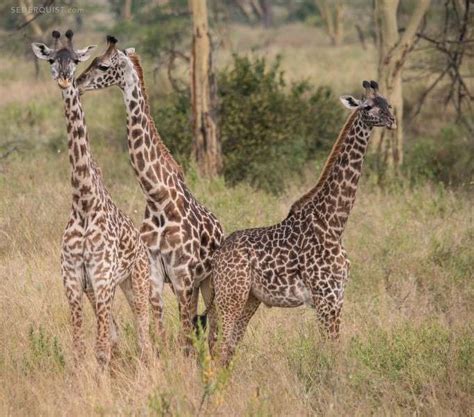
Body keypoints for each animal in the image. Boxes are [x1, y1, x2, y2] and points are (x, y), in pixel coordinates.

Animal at [32, 30, 160, 368]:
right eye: (52, 60)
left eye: (76, 60)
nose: (66, 80)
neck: (83, 203)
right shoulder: (74, 280)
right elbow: (80, 350)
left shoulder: (102, 278)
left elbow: (100, 349)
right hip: (106, 288)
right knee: (116, 332)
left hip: (137, 281)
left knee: (144, 332)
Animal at [77, 35, 225, 350]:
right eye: (91, 60)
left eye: (103, 65)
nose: (79, 83)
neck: (158, 198)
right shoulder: (156, 275)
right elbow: (160, 332)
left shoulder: (183, 277)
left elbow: (185, 338)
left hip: (207, 282)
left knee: (212, 328)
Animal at [207, 79, 396, 364]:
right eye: (368, 106)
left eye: (388, 103)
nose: (392, 120)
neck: (334, 224)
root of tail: (217, 255)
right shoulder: (324, 298)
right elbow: (332, 351)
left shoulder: (338, 296)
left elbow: (335, 350)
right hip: (231, 295)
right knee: (219, 347)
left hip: (249, 298)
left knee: (227, 346)